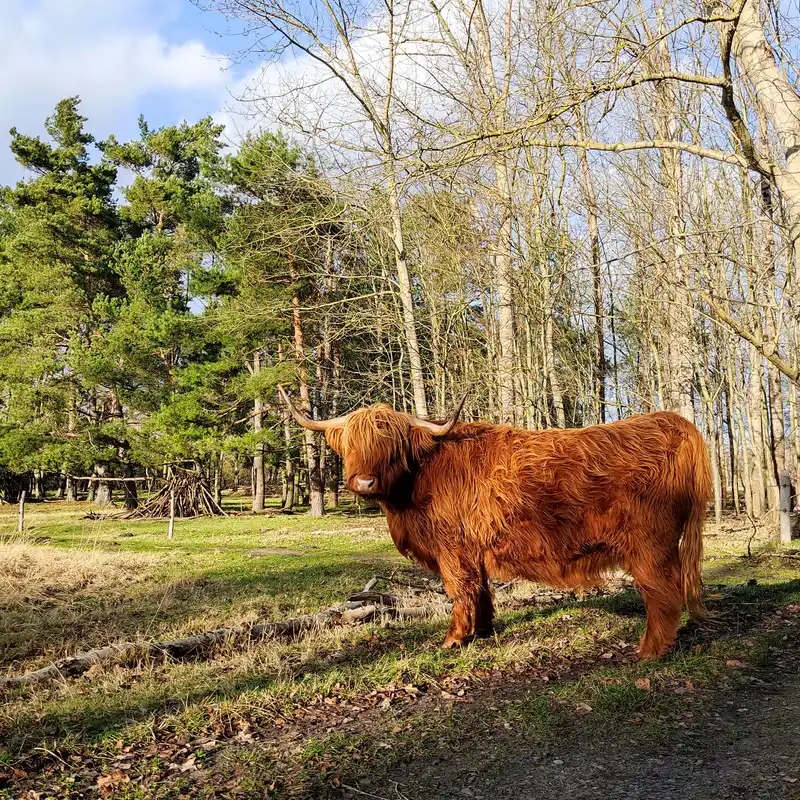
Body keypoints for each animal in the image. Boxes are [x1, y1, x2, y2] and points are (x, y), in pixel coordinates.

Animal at [278, 390, 708, 664]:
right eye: (352, 444)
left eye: (391, 446)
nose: (364, 482)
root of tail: (672, 422)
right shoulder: (473, 550)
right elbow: (480, 590)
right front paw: (483, 631)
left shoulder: (452, 549)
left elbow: (458, 591)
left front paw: (454, 639)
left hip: (649, 545)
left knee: (662, 594)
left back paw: (649, 651)